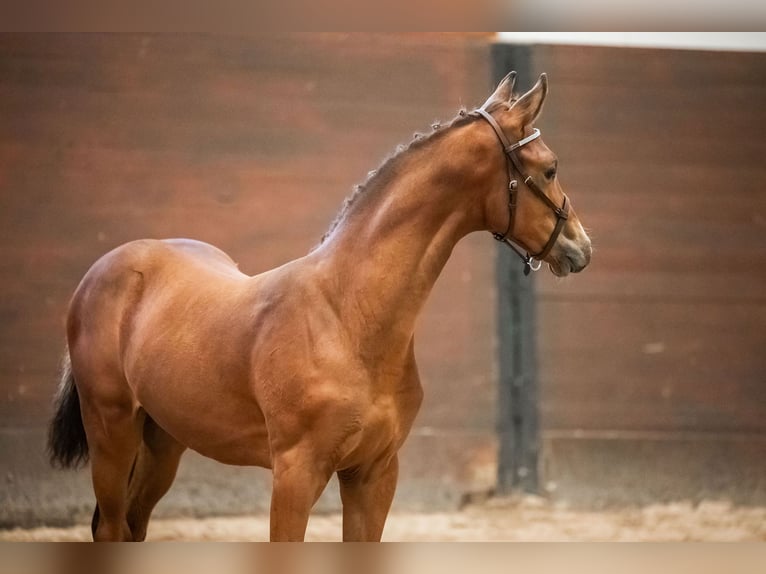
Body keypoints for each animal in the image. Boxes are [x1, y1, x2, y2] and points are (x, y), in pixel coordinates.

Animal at [46, 72, 592, 544]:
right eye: (550, 168)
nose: (581, 248)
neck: (348, 318)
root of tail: (108, 267)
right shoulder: (296, 474)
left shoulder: (374, 473)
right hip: (112, 433)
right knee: (111, 527)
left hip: (163, 441)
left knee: (132, 525)